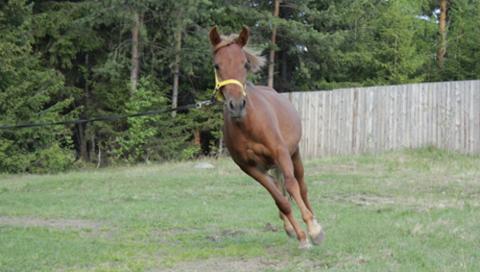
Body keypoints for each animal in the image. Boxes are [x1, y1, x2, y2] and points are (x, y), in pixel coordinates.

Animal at [208, 27, 324, 249]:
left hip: (294, 154)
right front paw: (302, 237)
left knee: (302, 187)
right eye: (217, 65)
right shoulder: (250, 168)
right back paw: (290, 228)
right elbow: (281, 200)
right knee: (280, 191)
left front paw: (314, 231)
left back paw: (314, 221)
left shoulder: (281, 153)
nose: (237, 105)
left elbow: (292, 186)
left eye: (244, 63)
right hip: (269, 166)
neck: (248, 124)